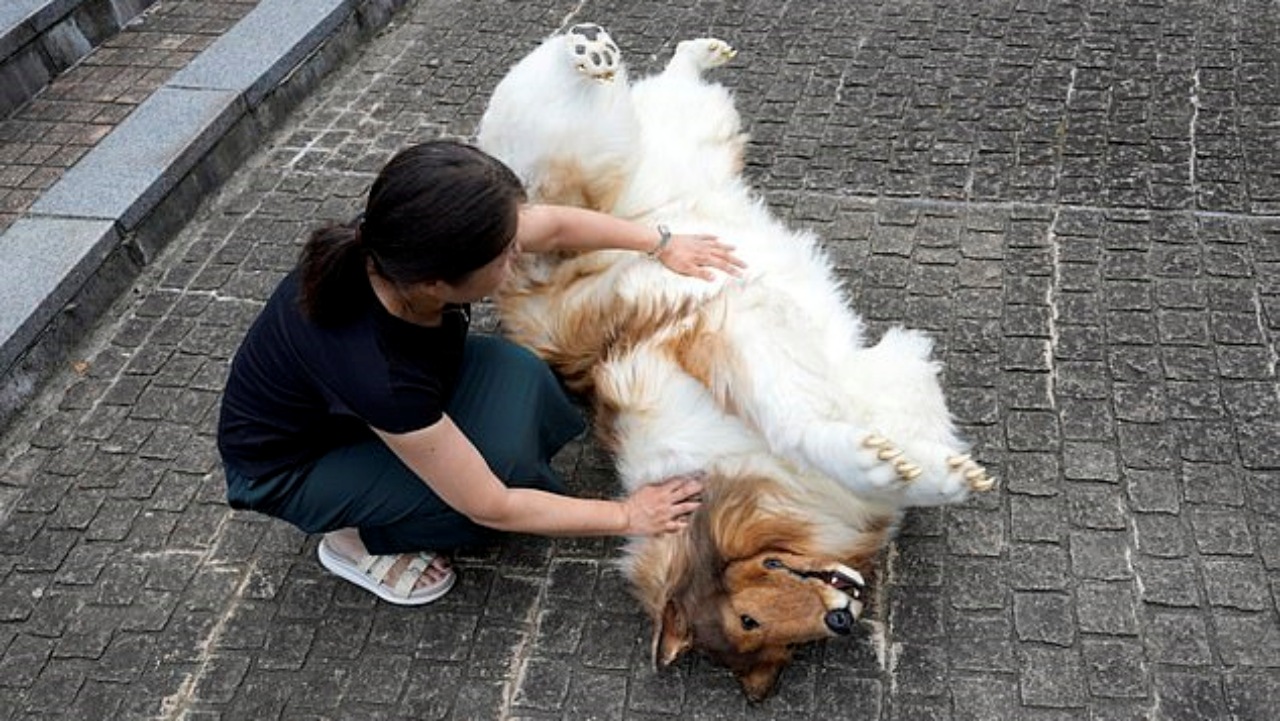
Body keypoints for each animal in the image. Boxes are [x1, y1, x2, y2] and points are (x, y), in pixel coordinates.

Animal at [476, 25, 993, 701]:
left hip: (593, 161)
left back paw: (595, 50)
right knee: (661, 87)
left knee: (576, 87)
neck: (722, 478)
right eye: (758, 629)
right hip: (686, 130)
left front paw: (899, 464)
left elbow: (799, 420)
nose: (844, 618)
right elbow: (871, 423)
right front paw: (922, 470)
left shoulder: (717, 336)